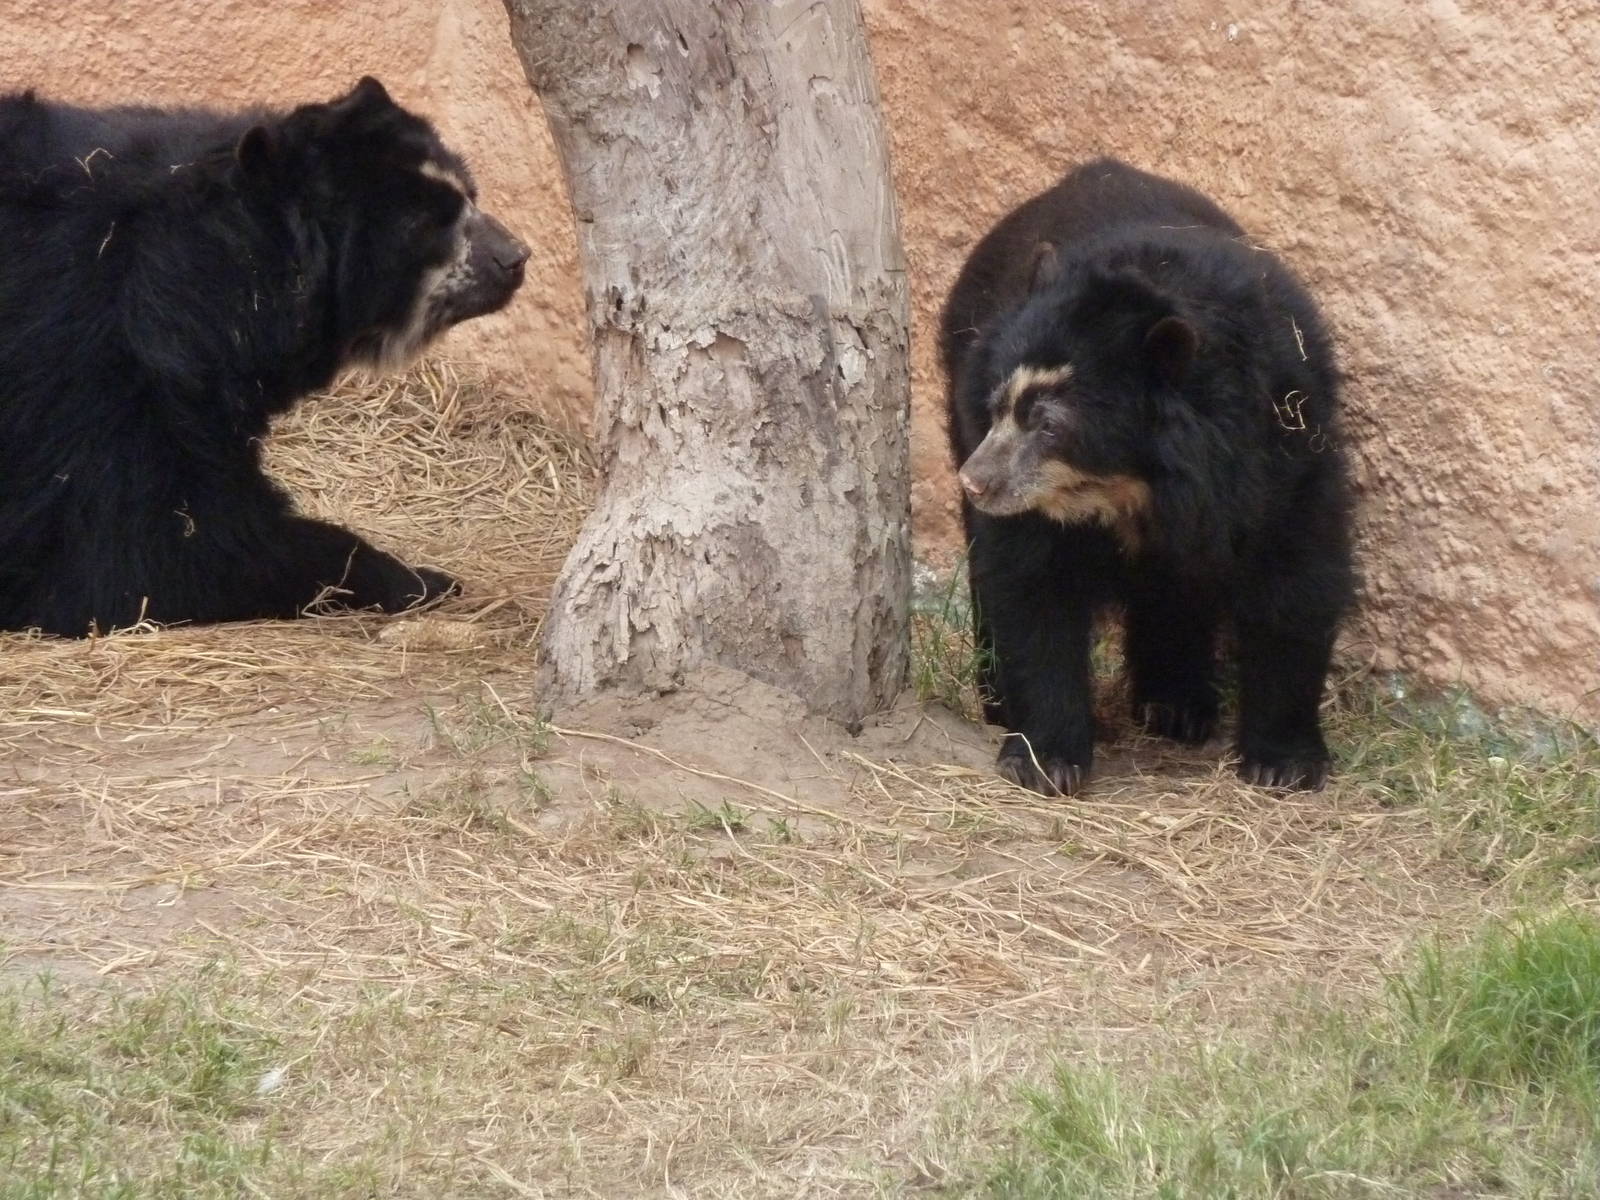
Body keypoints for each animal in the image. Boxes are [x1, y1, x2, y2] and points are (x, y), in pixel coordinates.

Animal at [0, 77, 529, 636]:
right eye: (426, 223)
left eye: (469, 193)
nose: (515, 257)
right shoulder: (90, 357)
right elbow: (153, 547)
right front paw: (419, 579)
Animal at [940, 157, 1353, 796]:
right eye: (999, 405)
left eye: (1050, 425)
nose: (976, 482)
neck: (1138, 483)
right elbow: (1032, 586)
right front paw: (1045, 759)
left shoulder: (1285, 452)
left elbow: (1296, 576)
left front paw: (1283, 763)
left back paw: (1177, 707)